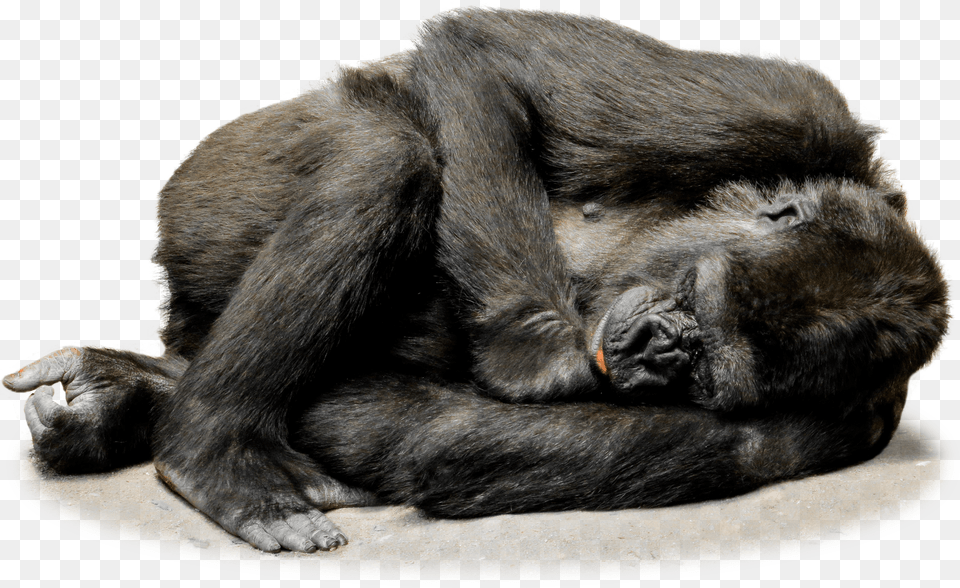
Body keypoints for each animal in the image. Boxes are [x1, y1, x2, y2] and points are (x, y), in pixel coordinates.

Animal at [4, 9, 949, 553]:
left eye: (712, 368)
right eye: (692, 300)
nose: (670, 349)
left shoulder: (837, 428)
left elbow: (438, 440)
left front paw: (132, 398)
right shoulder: (796, 107)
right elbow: (488, 59)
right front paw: (543, 355)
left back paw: (157, 409)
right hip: (204, 192)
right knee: (387, 152)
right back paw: (210, 448)